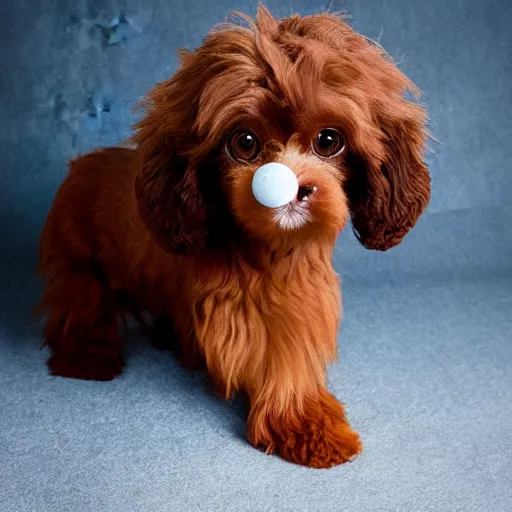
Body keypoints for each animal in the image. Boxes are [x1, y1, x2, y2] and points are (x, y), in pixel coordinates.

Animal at [38, 5, 432, 468]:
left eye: (329, 140)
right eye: (244, 142)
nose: (294, 189)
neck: (275, 253)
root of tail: (79, 164)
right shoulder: (243, 312)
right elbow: (279, 357)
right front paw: (305, 424)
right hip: (78, 263)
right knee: (81, 305)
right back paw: (88, 357)